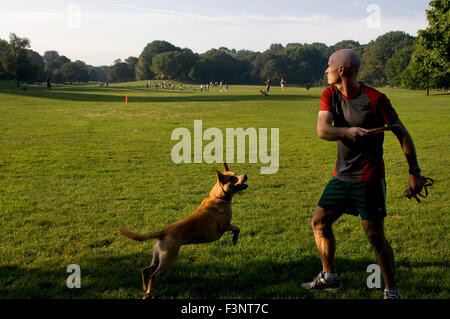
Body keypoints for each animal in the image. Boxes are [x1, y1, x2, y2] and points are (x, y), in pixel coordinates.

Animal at [118, 165, 248, 300]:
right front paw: (234, 237)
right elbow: (237, 228)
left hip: (158, 258)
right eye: (232, 178)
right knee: (153, 275)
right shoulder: (225, 225)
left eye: (236, 174)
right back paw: (148, 293)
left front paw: (233, 237)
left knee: (145, 270)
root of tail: (163, 232)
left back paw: (145, 288)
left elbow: (236, 229)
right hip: (168, 259)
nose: (245, 175)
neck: (217, 197)